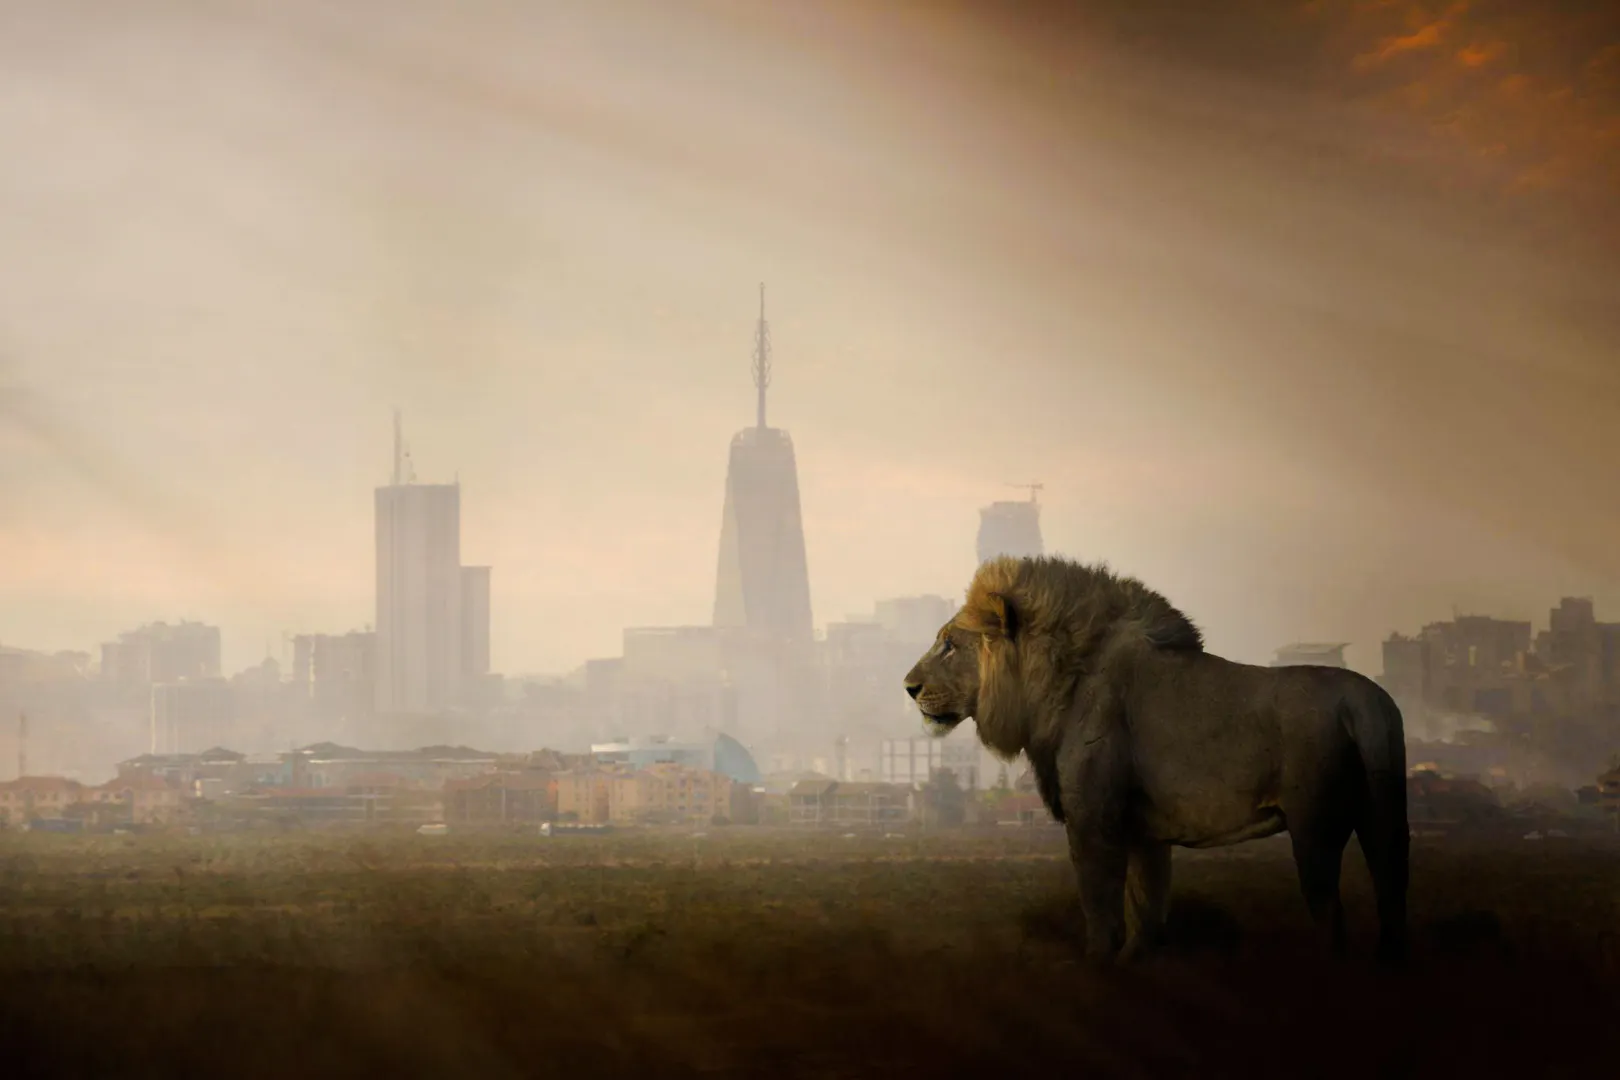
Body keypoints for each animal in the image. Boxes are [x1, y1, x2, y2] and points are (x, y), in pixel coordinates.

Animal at [904, 554, 1410, 966]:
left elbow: (1100, 900)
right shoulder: (1144, 829)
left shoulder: (1093, 817)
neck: (1052, 682)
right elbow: (1146, 903)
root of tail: (1365, 701)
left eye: (949, 644)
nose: (908, 686)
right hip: (1384, 818)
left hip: (1313, 828)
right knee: (1392, 894)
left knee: (1331, 916)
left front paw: (1097, 966)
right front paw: (1136, 964)